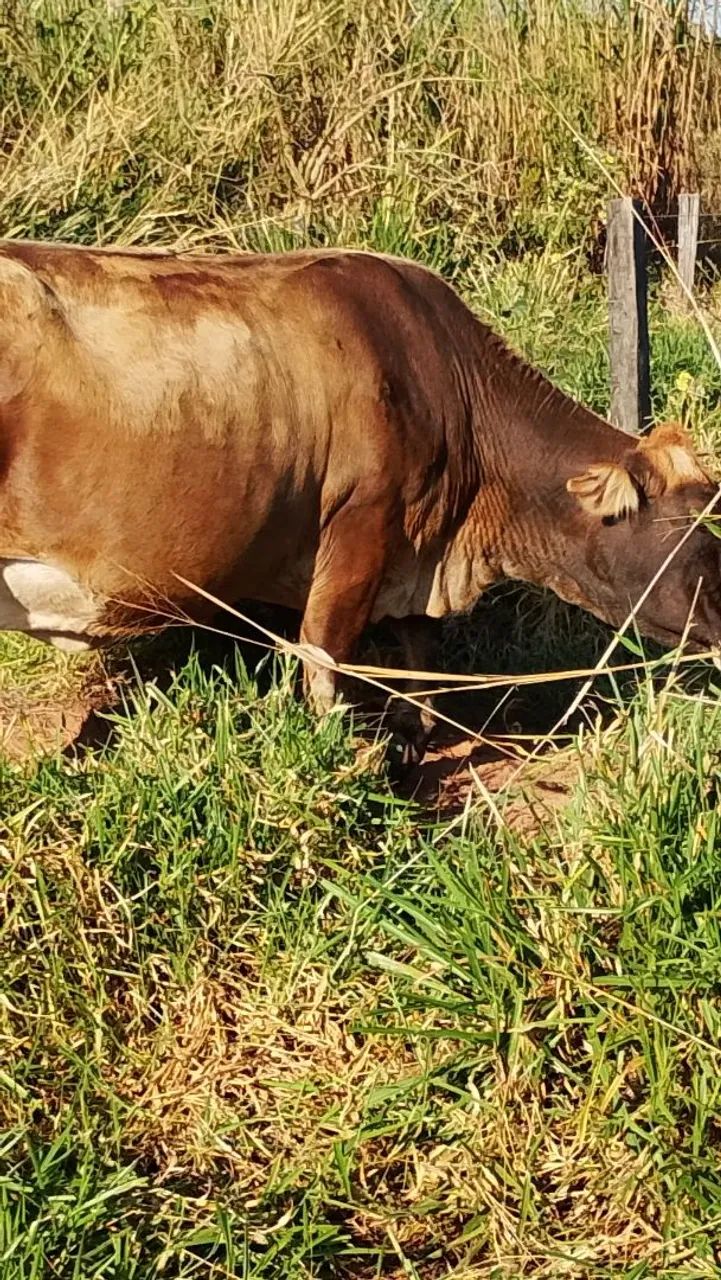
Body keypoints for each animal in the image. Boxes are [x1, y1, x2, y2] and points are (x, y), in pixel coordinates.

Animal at [0, 239, 720, 764]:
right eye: (690, 528)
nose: (719, 615)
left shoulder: (420, 540)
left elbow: (420, 642)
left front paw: (417, 730)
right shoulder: (363, 524)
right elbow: (325, 654)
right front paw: (343, 757)